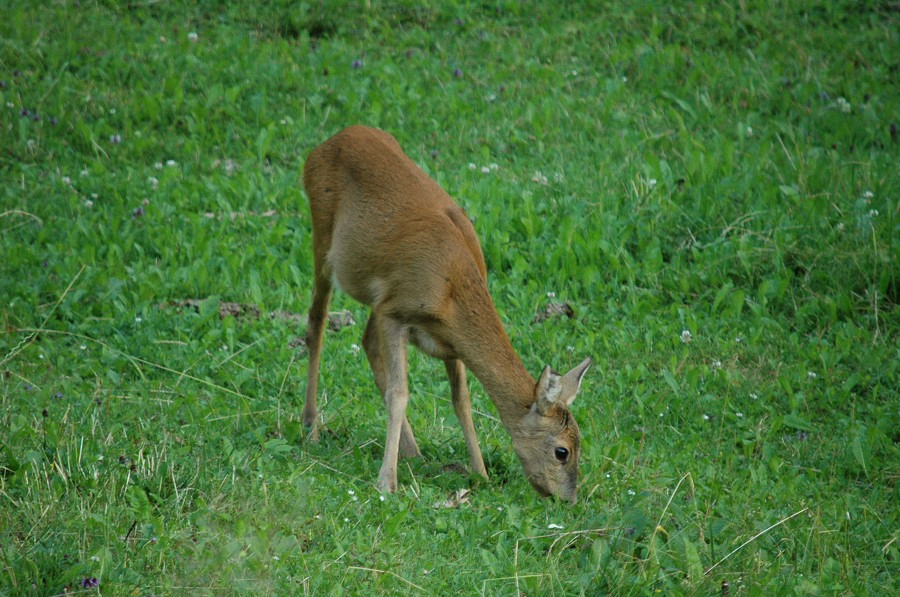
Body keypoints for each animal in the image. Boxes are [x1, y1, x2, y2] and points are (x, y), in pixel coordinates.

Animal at [302, 125, 592, 502]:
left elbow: (462, 400)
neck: (452, 286)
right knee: (316, 324)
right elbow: (400, 393)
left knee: (365, 342)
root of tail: (327, 142)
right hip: (323, 238)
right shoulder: (395, 313)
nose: (567, 500)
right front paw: (386, 482)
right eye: (562, 451)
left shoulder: (446, 340)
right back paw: (312, 428)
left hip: (375, 297)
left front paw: (480, 472)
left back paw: (413, 452)